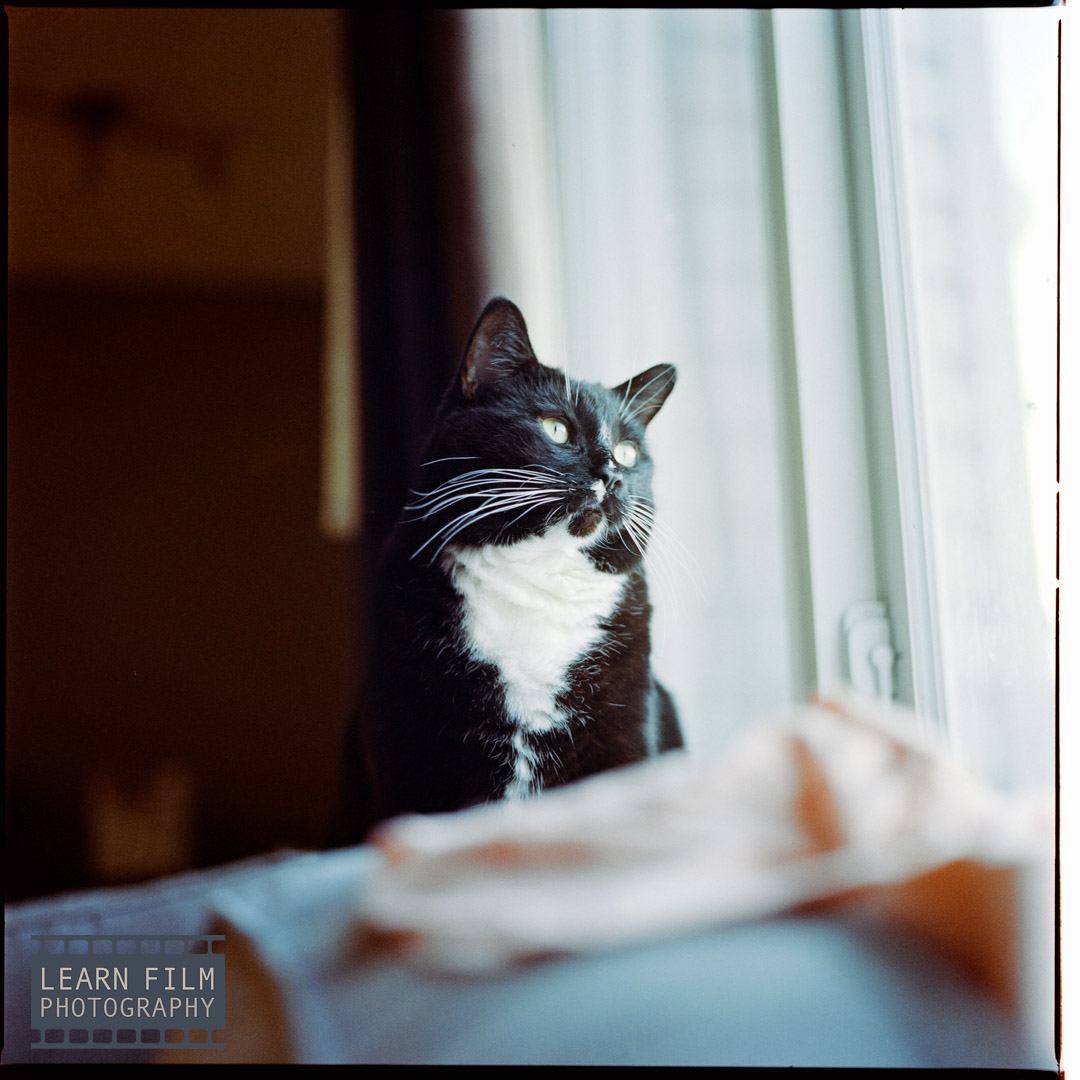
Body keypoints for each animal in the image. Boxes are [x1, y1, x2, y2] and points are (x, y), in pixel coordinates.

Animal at [336, 300, 678, 838]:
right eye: (556, 427)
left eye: (628, 452)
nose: (612, 474)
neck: (535, 583)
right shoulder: (403, 742)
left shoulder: (626, 731)